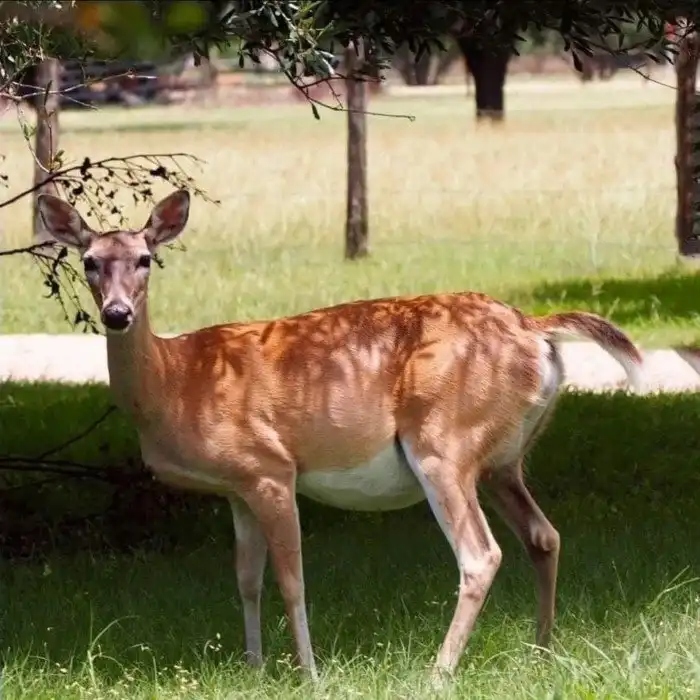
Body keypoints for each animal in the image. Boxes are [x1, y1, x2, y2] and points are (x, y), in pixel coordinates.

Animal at [35, 189, 644, 688]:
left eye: (145, 259)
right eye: (89, 261)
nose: (117, 313)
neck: (176, 378)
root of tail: (534, 329)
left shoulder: (270, 466)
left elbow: (292, 580)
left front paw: (308, 674)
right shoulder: (236, 487)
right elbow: (246, 579)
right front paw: (253, 668)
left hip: (445, 440)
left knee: (480, 554)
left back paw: (439, 672)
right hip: (502, 460)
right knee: (544, 535)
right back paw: (543, 652)